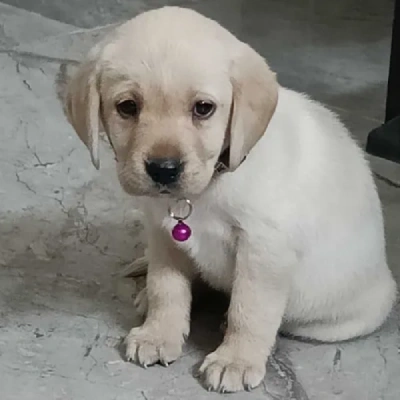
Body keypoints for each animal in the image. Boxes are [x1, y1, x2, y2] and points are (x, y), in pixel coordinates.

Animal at [59, 7, 396, 394]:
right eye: (127, 107)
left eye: (203, 108)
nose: (163, 169)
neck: (205, 189)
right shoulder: (162, 235)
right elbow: (166, 288)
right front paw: (159, 333)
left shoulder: (263, 250)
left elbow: (249, 310)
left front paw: (236, 359)